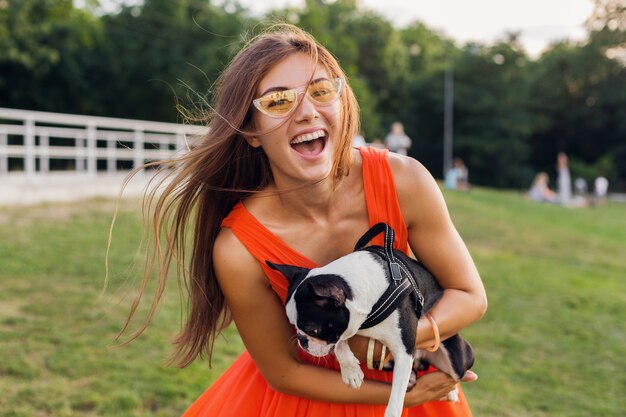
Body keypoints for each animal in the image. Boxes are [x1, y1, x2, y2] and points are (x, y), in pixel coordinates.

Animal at [264, 223, 472, 416]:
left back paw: (450, 390)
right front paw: (350, 370)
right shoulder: (349, 325)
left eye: (313, 330)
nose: (302, 340)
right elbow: (340, 342)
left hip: (457, 359)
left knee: (454, 375)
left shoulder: (404, 350)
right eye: (293, 325)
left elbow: (395, 403)